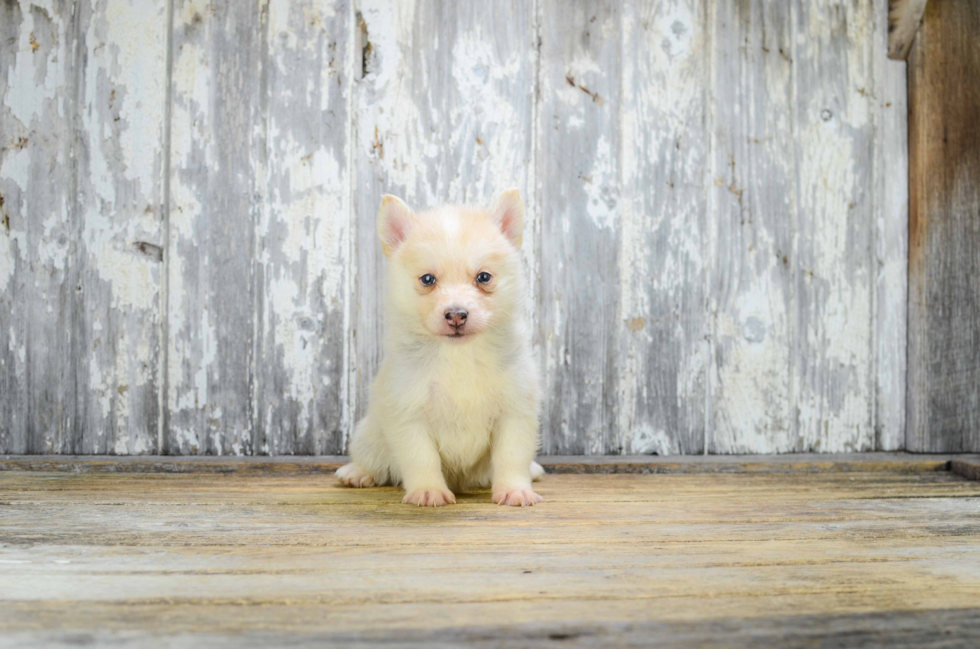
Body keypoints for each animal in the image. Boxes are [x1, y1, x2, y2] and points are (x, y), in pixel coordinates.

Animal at [336, 189, 544, 506]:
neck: (458, 354)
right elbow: (422, 458)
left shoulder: (515, 409)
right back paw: (356, 472)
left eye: (484, 277)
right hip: (369, 435)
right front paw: (428, 490)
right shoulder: (409, 413)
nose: (456, 314)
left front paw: (514, 489)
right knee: (374, 461)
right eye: (427, 279)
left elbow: (512, 456)